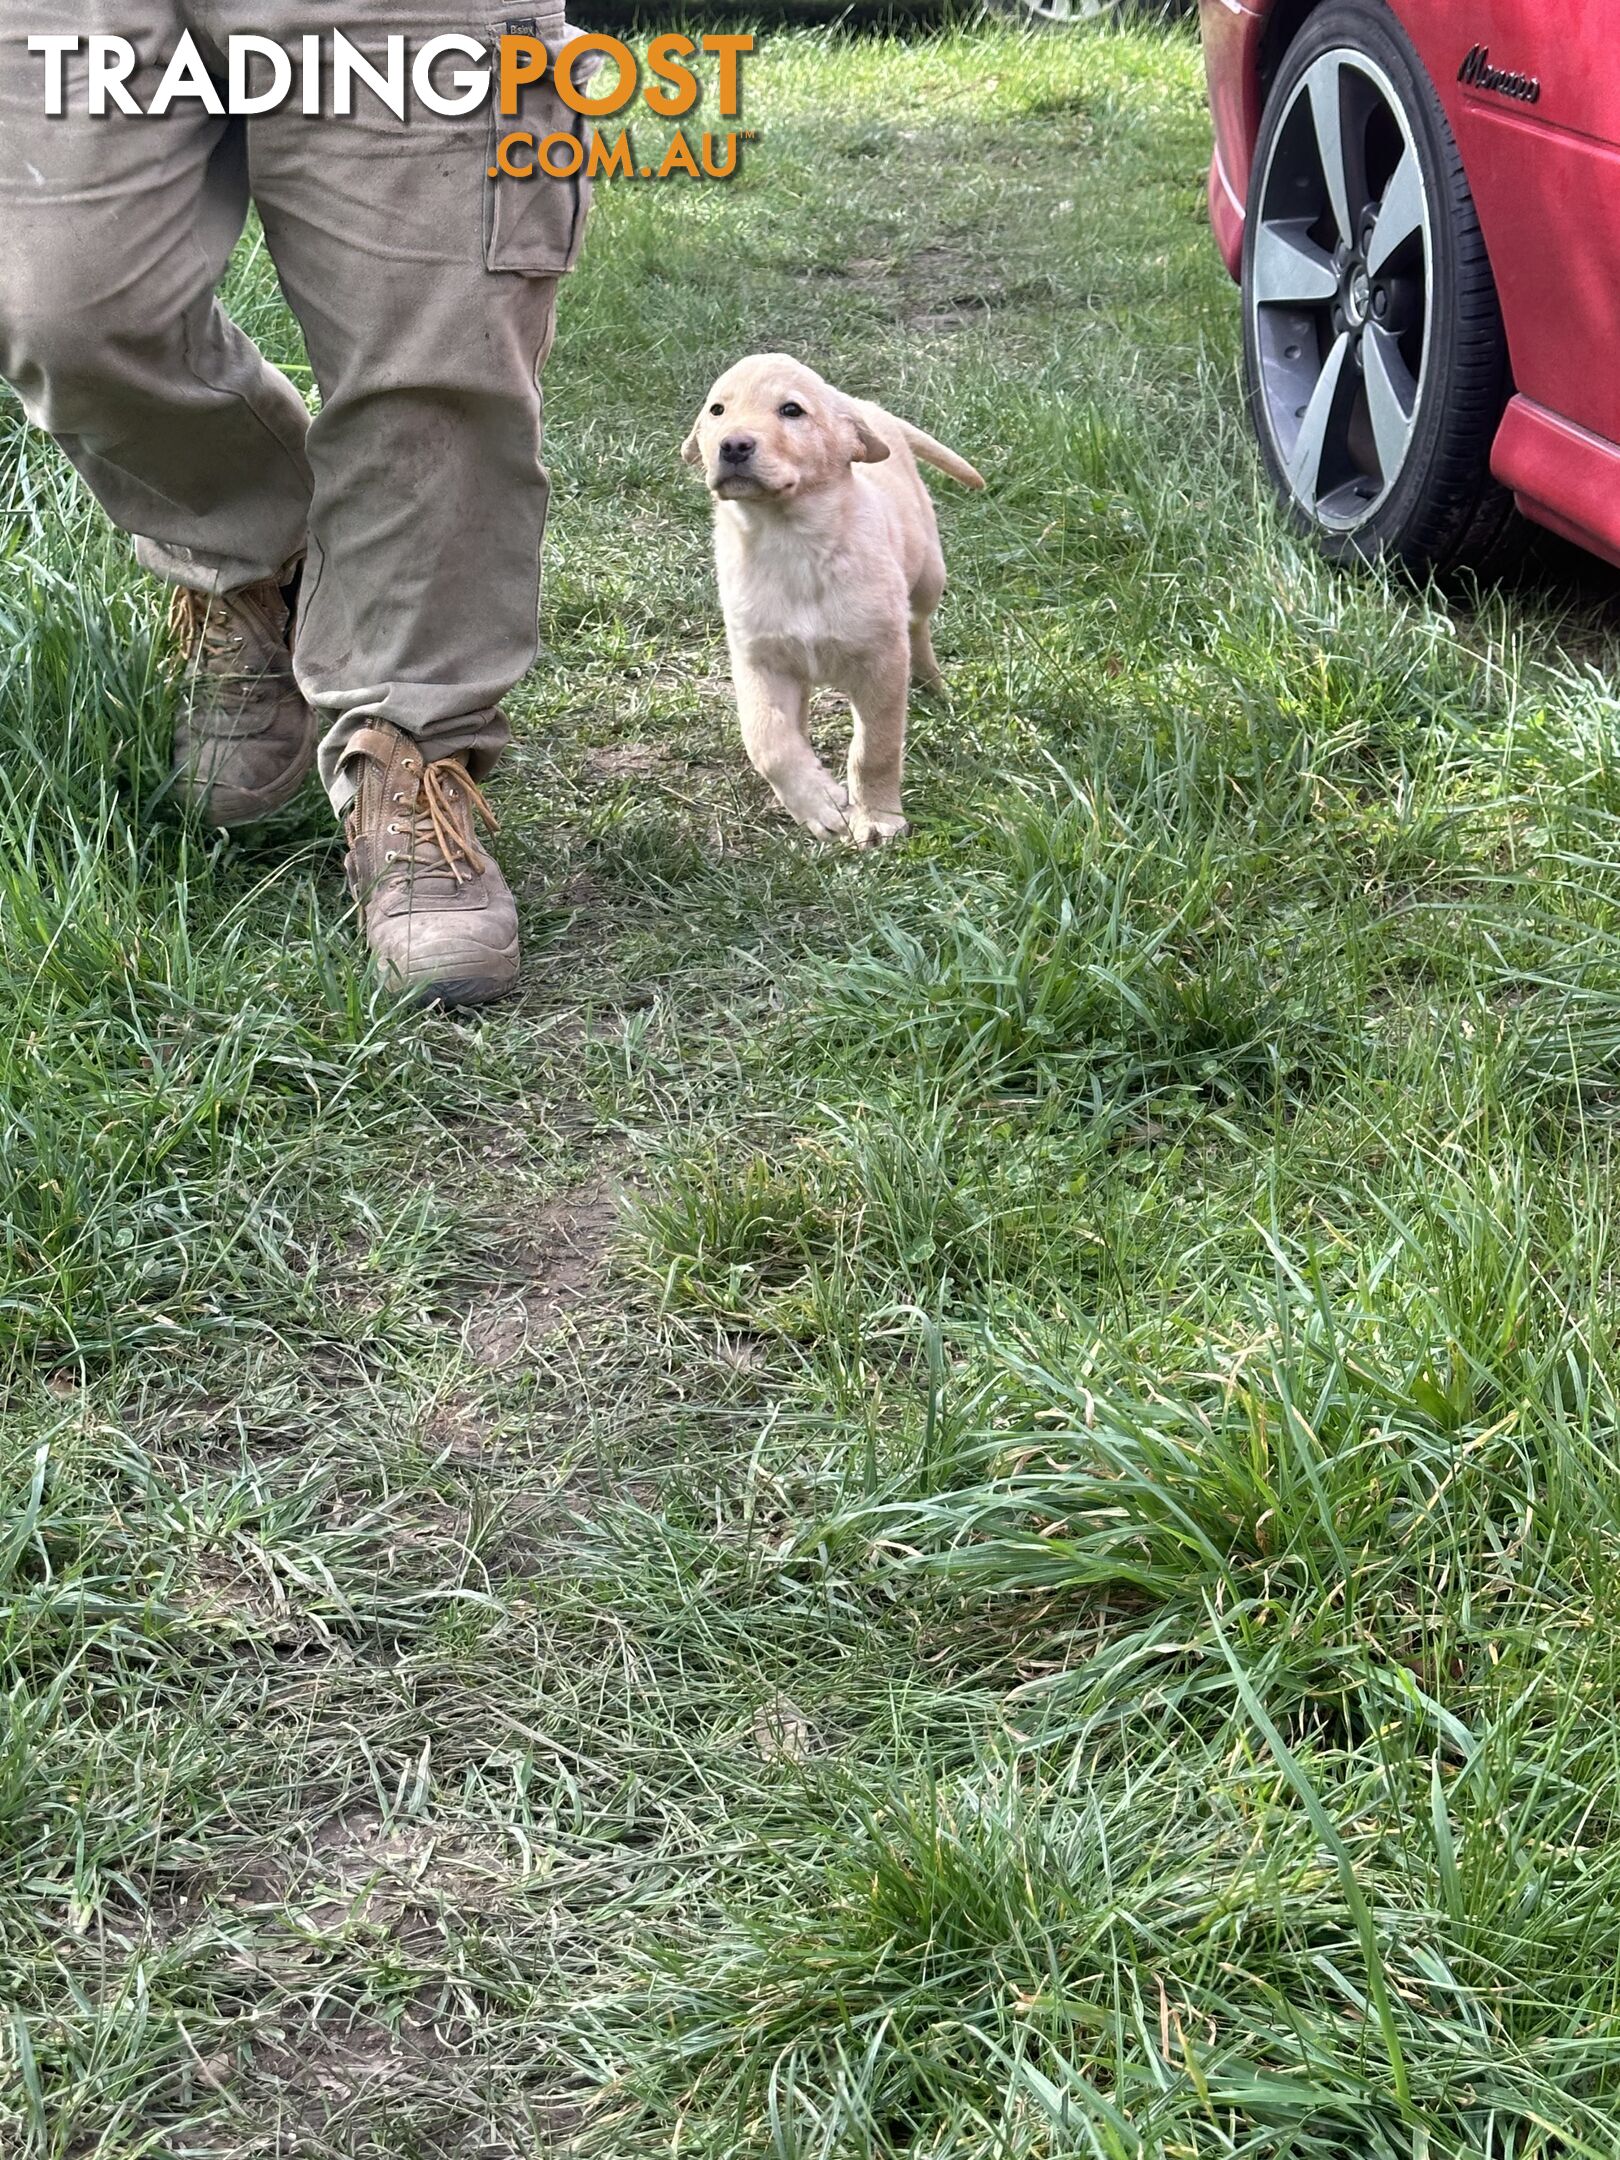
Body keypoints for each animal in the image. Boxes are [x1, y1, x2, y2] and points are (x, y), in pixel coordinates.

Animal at [678, 352, 984, 842]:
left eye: (791, 410)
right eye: (717, 411)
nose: (733, 446)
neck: (790, 539)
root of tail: (868, 407)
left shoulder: (880, 661)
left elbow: (875, 748)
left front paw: (877, 817)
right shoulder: (759, 660)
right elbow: (768, 741)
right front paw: (817, 802)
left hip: (928, 575)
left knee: (917, 625)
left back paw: (930, 681)